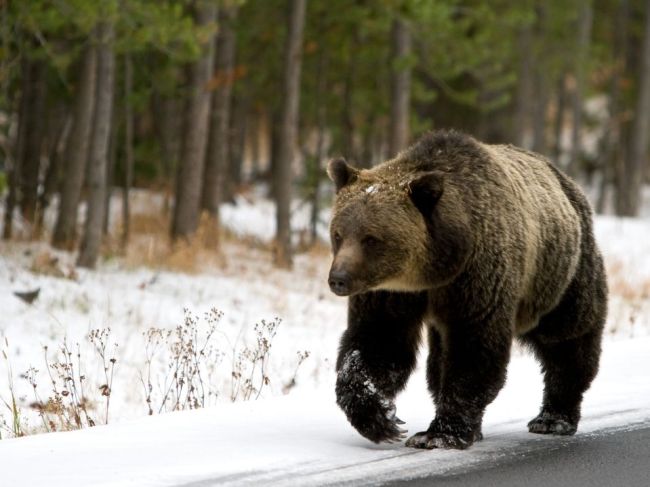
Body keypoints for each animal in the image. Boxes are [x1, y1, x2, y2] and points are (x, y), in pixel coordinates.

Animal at [326, 130, 604, 450]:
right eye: (338, 234)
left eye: (371, 238)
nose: (339, 279)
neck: (434, 271)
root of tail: (568, 182)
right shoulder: (390, 293)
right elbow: (378, 342)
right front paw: (381, 418)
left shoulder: (476, 276)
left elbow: (473, 347)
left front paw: (440, 433)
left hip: (560, 273)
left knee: (568, 338)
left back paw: (553, 418)